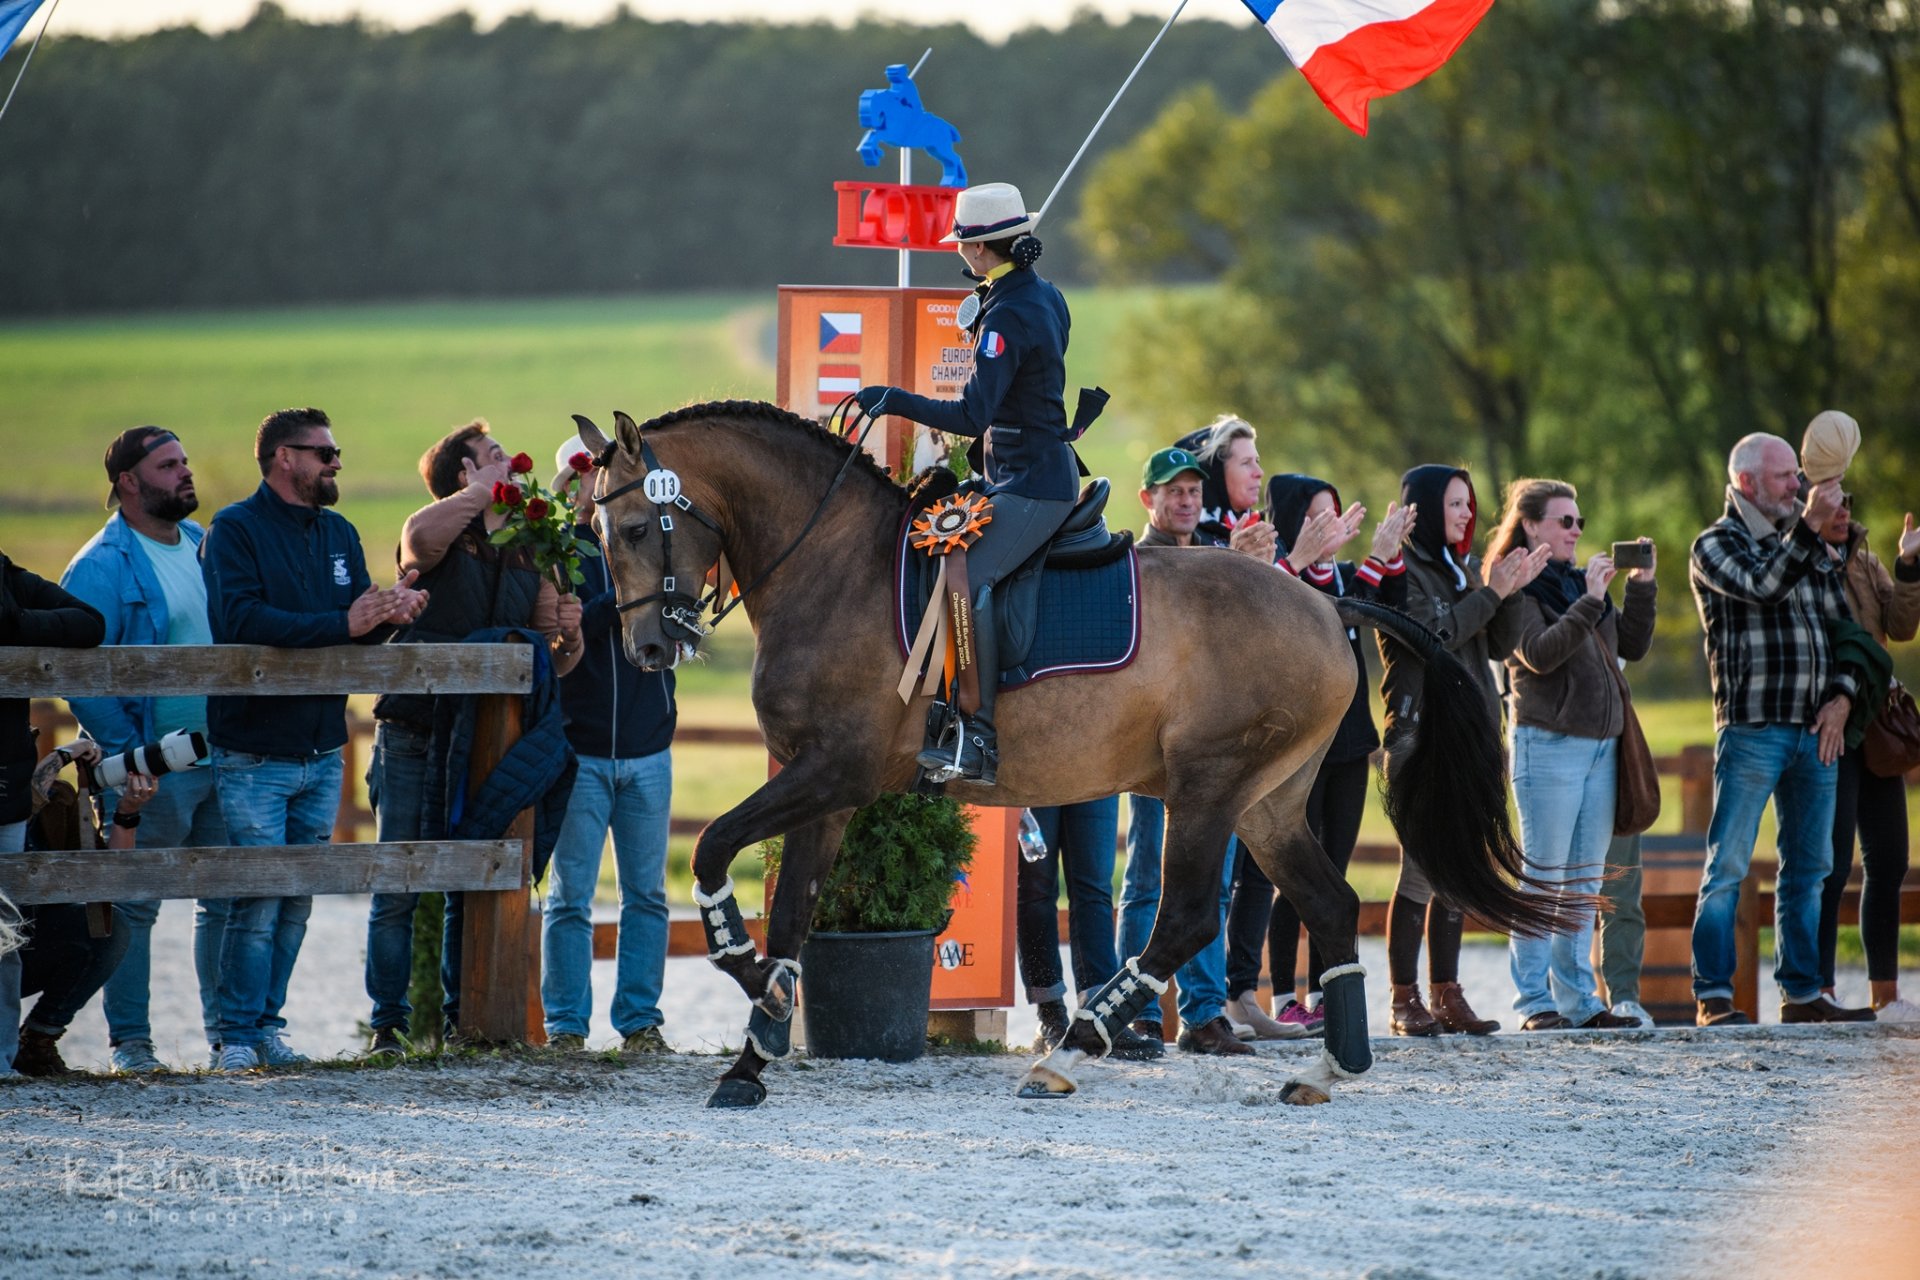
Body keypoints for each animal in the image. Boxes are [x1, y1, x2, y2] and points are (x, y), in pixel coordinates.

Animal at [572, 402, 1589, 1113]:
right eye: (593, 536)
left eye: (638, 529)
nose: (647, 652)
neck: (831, 565)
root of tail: (1325, 599)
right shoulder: (822, 788)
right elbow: (791, 912)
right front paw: (754, 1051)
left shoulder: (836, 772)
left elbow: (714, 852)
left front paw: (751, 982)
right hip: (1268, 800)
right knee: (1330, 905)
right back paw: (1329, 1070)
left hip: (1210, 787)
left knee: (1185, 916)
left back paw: (1077, 1046)